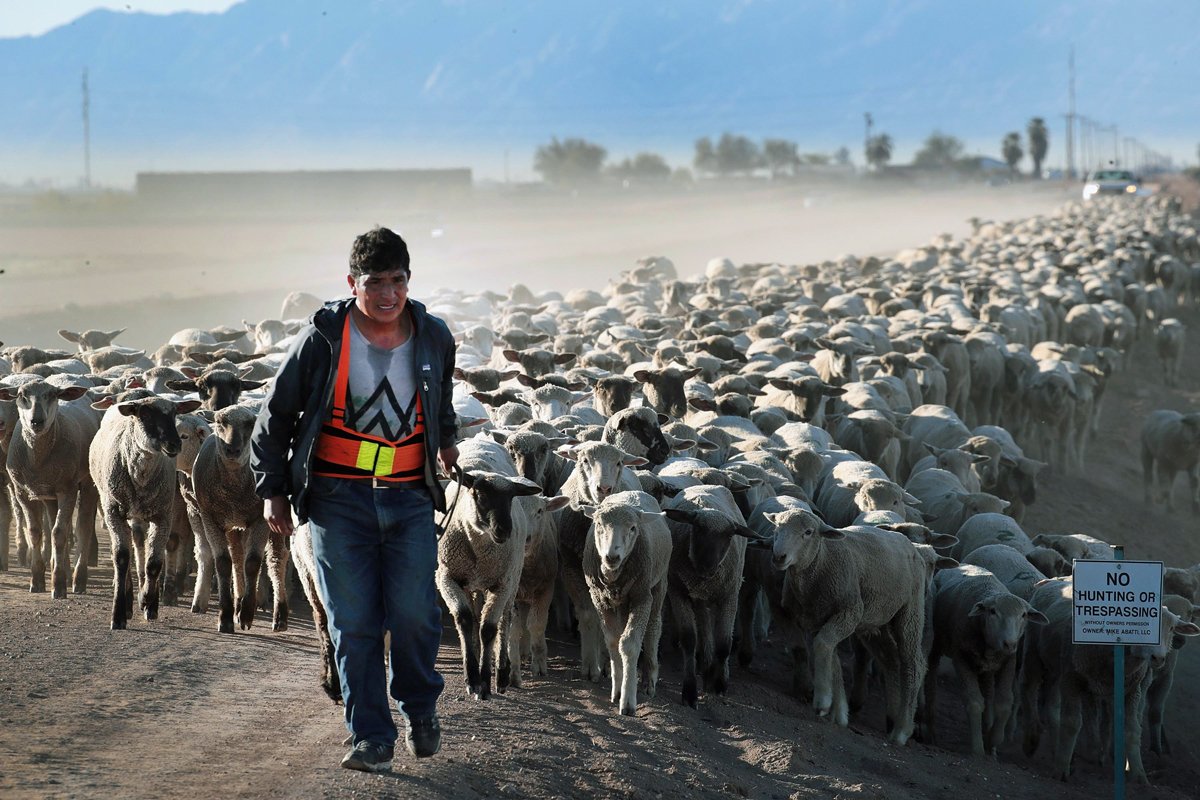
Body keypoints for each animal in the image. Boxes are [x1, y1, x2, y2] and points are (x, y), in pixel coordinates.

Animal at [0, 379, 100, 597]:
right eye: (21, 395)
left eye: (52, 395)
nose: (37, 421)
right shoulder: (23, 492)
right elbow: (35, 531)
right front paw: (37, 581)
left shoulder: (68, 490)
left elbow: (59, 533)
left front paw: (59, 585)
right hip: (49, 495)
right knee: (55, 521)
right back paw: (63, 567)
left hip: (88, 483)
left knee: (83, 527)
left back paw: (78, 579)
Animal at [89, 393, 201, 633]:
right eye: (145, 415)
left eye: (174, 413)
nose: (174, 443)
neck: (141, 474)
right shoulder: (113, 512)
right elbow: (122, 558)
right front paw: (119, 614)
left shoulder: (163, 516)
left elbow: (154, 562)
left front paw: (149, 602)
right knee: (128, 553)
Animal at [190, 410, 289, 633]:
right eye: (220, 422)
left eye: (251, 423)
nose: (232, 449)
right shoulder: (210, 518)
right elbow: (223, 563)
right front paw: (226, 617)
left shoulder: (261, 519)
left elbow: (252, 563)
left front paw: (247, 615)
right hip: (234, 526)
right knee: (236, 558)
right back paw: (237, 604)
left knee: (276, 560)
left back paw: (279, 617)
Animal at [580, 491, 676, 714]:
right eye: (598, 524)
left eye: (633, 528)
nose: (612, 556)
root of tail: (632, 492)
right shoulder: (599, 599)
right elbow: (614, 641)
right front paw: (617, 691)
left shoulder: (642, 597)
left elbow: (630, 643)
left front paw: (628, 701)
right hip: (621, 603)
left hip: (658, 584)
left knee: (653, 629)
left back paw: (649, 681)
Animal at [921, 563, 1046, 758]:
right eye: (993, 611)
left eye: (1024, 615)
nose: (1010, 643)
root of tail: (963, 564)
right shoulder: (961, 657)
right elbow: (974, 702)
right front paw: (978, 749)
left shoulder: (1008, 661)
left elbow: (1004, 703)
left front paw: (993, 741)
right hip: (937, 643)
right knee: (931, 683)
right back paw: (932, 732)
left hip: (986, 667)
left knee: (988, 693)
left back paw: (988, 731)